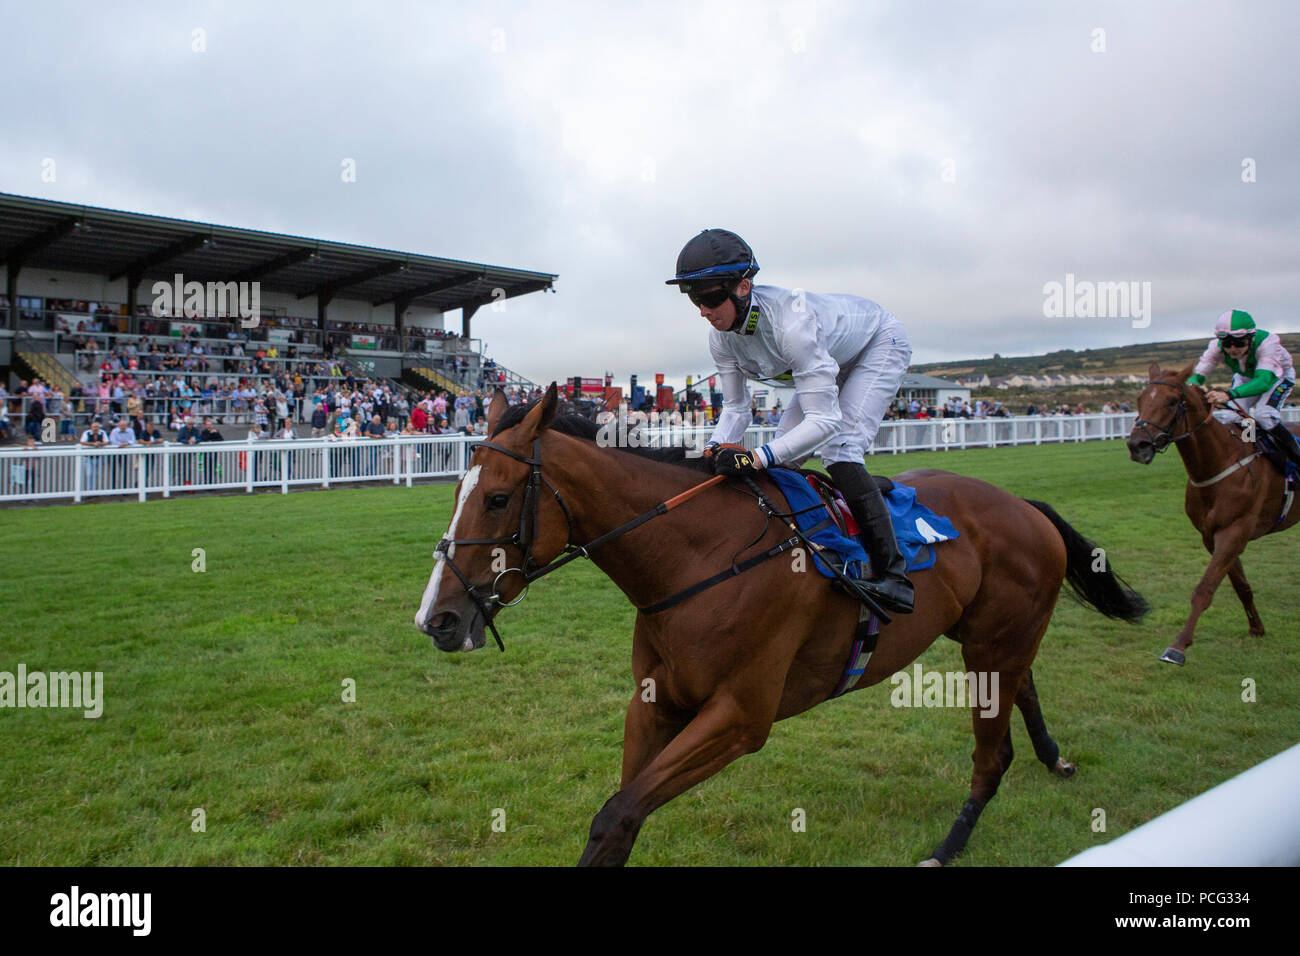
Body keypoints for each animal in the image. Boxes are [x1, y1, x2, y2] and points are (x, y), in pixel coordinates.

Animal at [416, 382, 1149, 868]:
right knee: (1024, 685)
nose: (437, 619)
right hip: (988, 637)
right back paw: (1055, 757)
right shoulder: (654, 702)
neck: (697, 559)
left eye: (498, 498)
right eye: (455, 491)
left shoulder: (740, 716)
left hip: (994, 642)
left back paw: (948, 846)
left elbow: (616, 815)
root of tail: (1021, 505)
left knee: (991, 755)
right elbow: (620, 812)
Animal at [1123, 361, 1294, 671]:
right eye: (1140, 400)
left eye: (1172, 400)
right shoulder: (1212, 536)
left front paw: (1178, 647)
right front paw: (1256, 627)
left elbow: (1204, 589)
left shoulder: (1235, 531)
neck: (1220, 462)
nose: (1137, 445)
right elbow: (1241, 586)